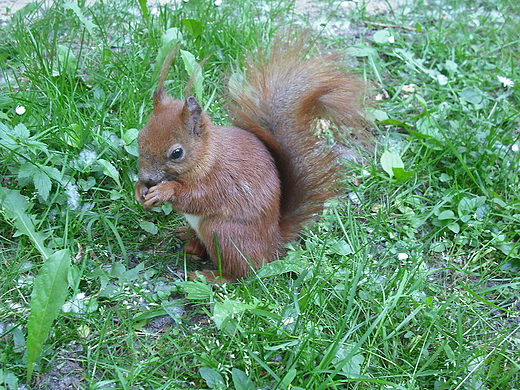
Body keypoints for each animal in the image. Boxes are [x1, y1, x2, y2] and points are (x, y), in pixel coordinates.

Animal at [135, 36, 370, 282]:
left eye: (177, 153)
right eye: (140, 137)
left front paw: (164, 191)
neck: (207, 156)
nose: (147, 178)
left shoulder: (221, 179)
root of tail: (271, 245)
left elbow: (199, 197)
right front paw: (139, 190)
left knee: (242, 273)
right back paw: (187, 239)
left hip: (223, 232)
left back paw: (212, 277)